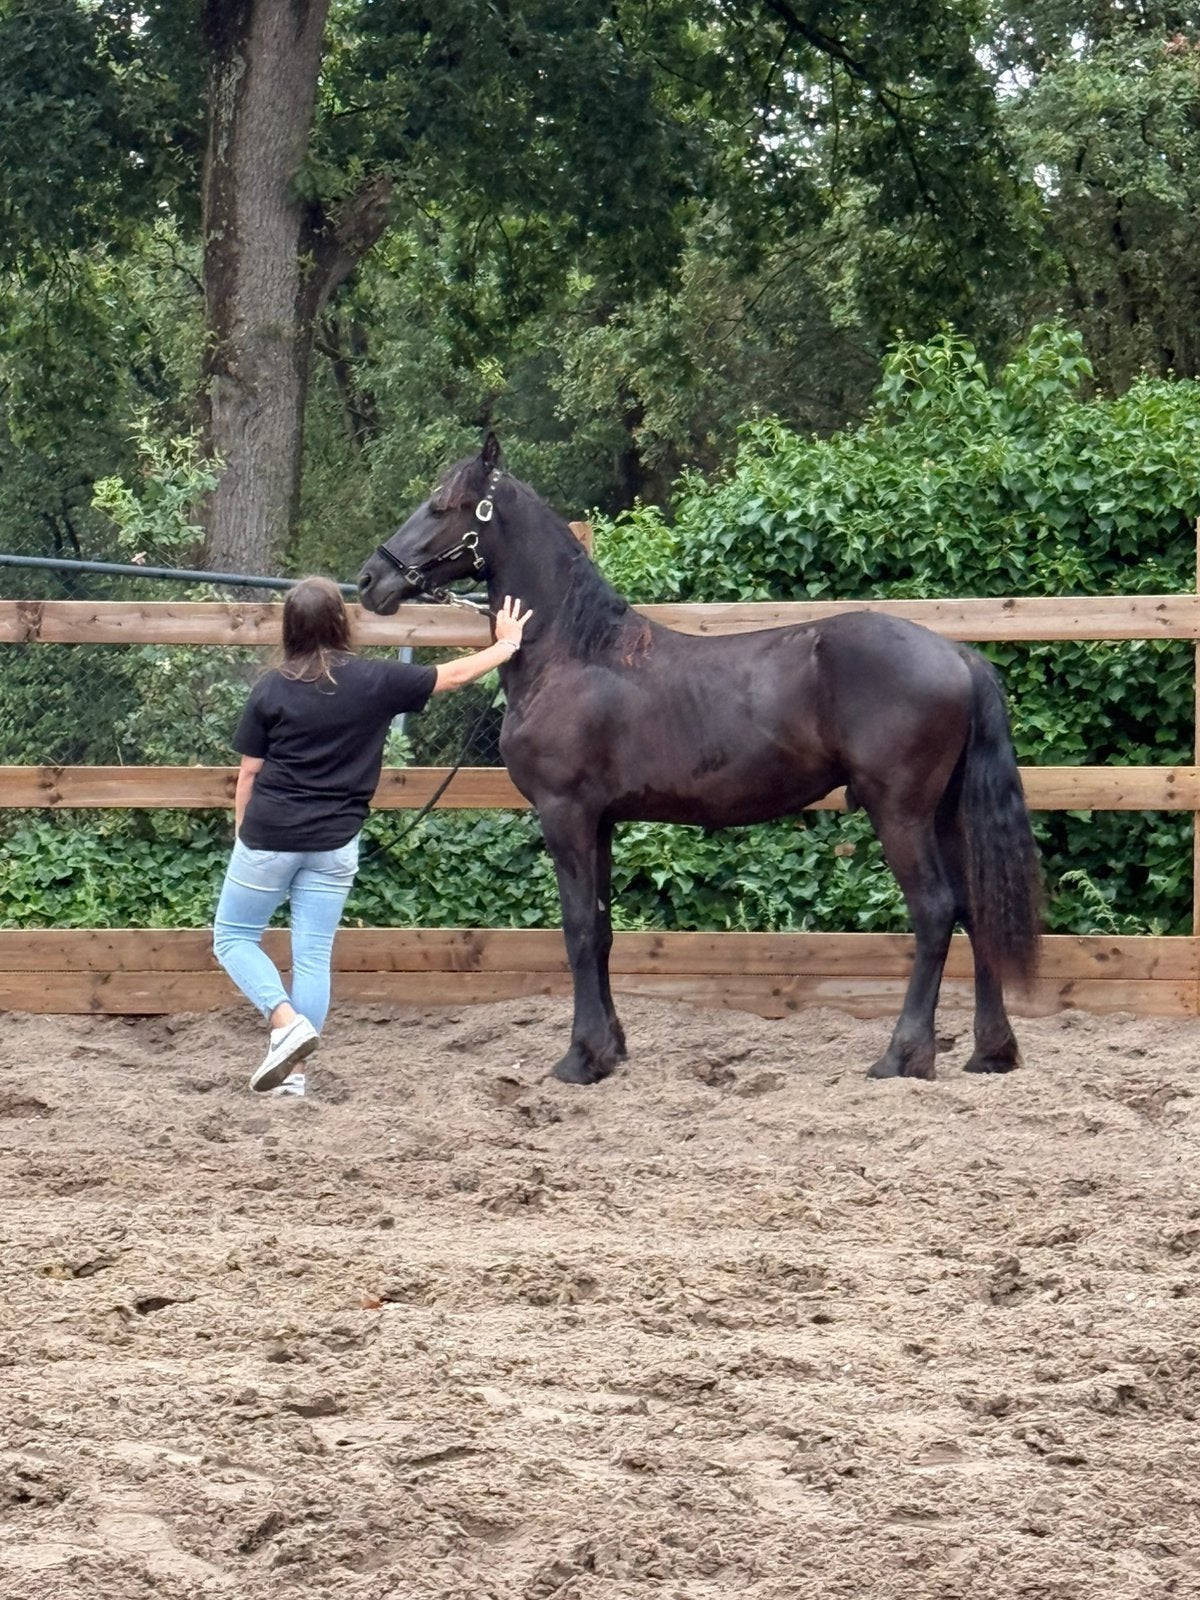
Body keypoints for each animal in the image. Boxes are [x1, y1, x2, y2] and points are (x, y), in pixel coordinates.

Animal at [357, 434, 1042, 1087]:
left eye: (441, 503)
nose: (370, 581)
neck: (576, 652)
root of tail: (960, 655)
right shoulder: (601, 821)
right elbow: (602, 930)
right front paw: (611, 1049)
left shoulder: (565, 814)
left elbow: (577, 930)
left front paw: (580, 1058)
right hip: (944, 814)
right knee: (976, 910)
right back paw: (990, 1052)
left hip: (899, 812)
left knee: (934, 912)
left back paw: (902, 1056)